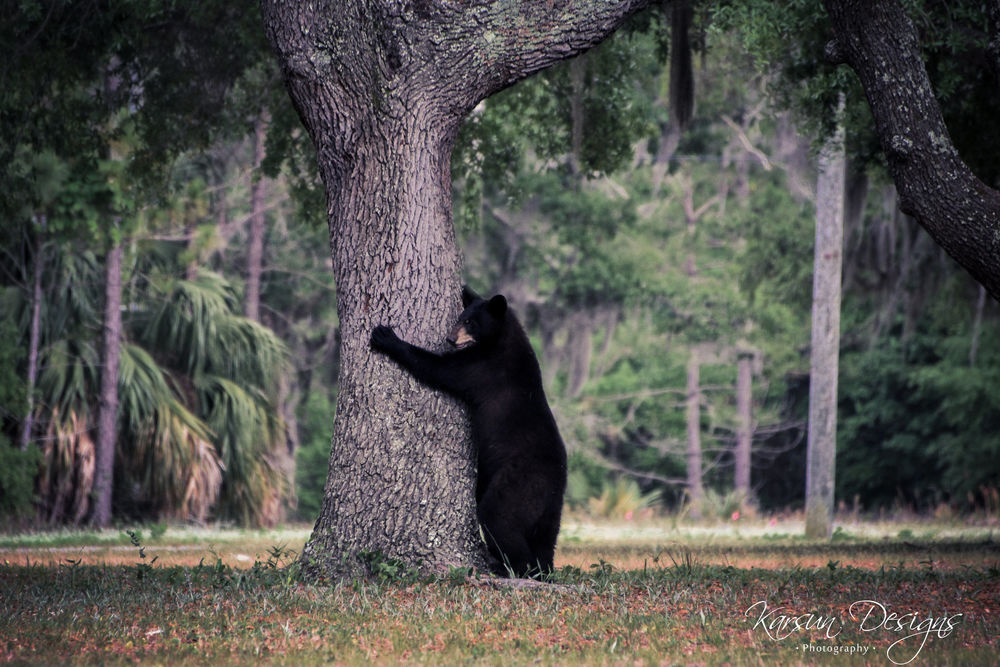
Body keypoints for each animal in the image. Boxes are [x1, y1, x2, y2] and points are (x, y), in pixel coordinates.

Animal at [370, 286, 567, 578]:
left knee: (498, 518)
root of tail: (557, 480)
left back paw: (510, 566)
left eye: (471, 322)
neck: (500, 340)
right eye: (461, 317)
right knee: (546, 538)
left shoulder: (482, 368)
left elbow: (439, 369)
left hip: (521, 481)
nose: (450, 339)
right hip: (551, 508)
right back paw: (542, 570)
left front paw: (386, 336)